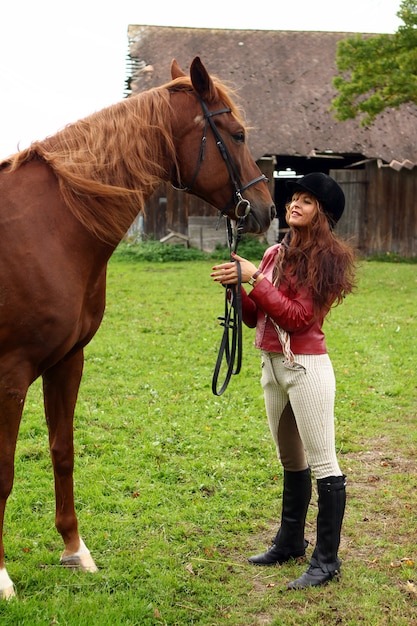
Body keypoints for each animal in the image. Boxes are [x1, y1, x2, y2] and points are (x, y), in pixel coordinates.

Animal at [0, 56, 272, 596]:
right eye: (236, 134)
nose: (268, 208)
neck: (49, 227)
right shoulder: (10, 374)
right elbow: (1, 473)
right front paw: (0, 579)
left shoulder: (68, 360)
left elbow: (63, 450)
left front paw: (74, 550)